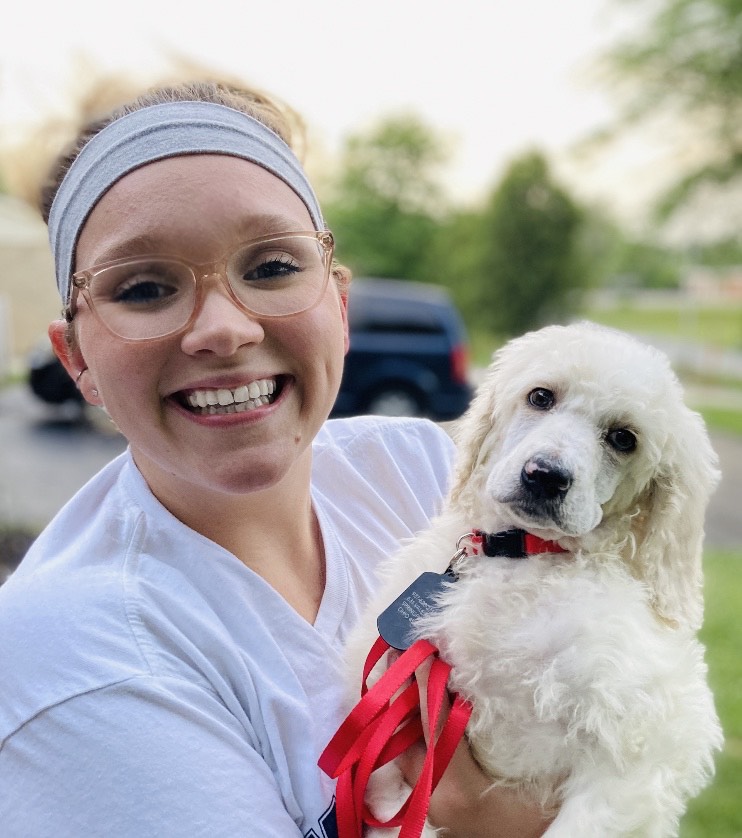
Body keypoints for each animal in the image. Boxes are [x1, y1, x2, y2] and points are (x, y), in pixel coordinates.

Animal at [343, 321, 723, 837]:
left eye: (624, 439)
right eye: (540, 396)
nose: (544, 476)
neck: (525, 557)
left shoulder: (642, 746)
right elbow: (392, 808)